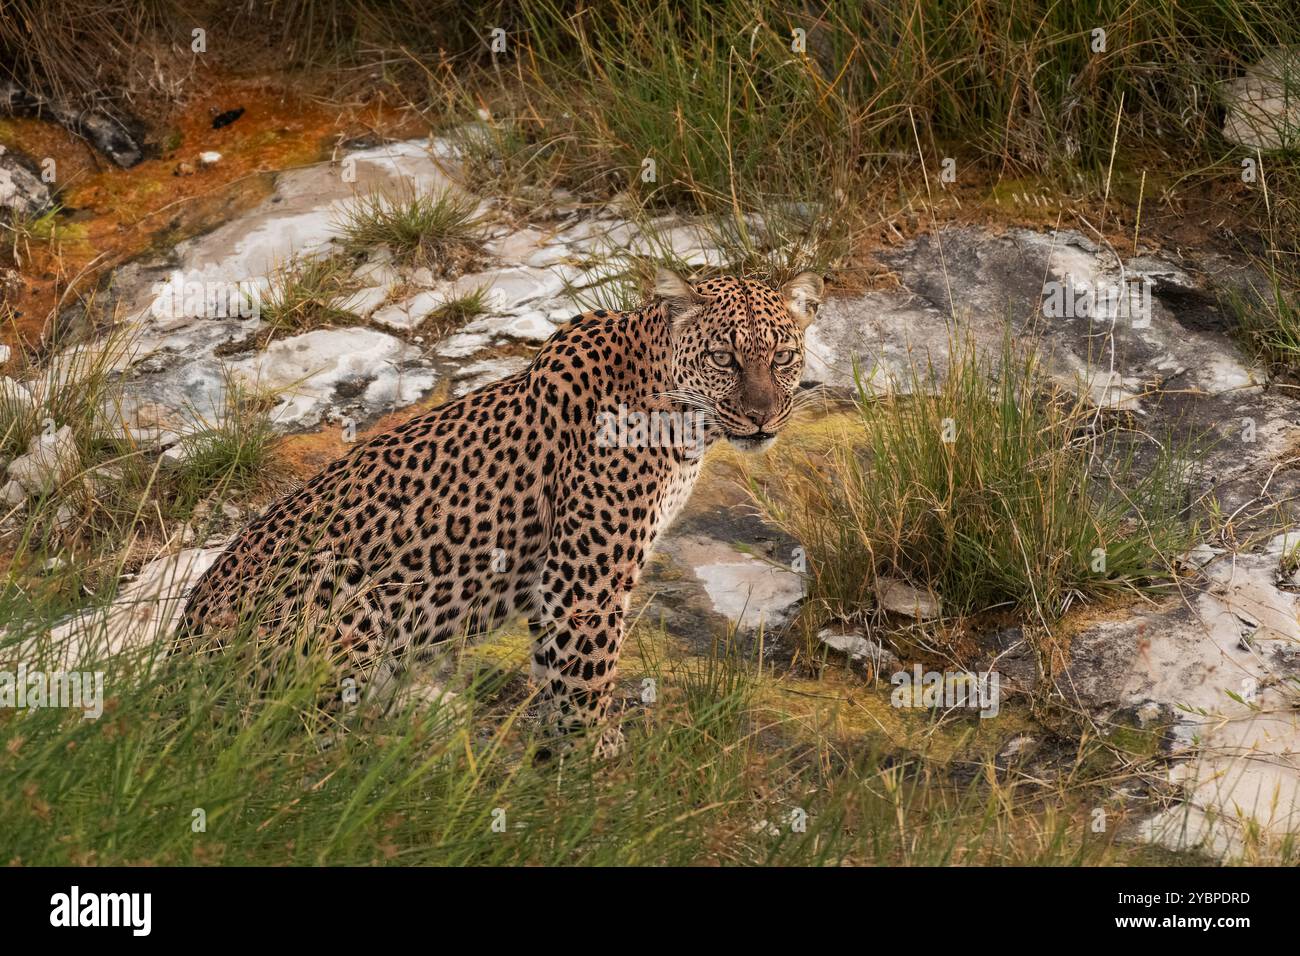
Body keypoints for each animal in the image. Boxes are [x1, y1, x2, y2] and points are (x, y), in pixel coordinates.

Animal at [172, 267, 821, 754]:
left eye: (783, 357)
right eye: (724, 358)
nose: (763, 416)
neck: (682, 421)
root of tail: (181, 646)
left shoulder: (554, 588)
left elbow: (557, 682)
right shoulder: (582, 584)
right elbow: (586, 689)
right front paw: (601, 781)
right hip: (340, 603)